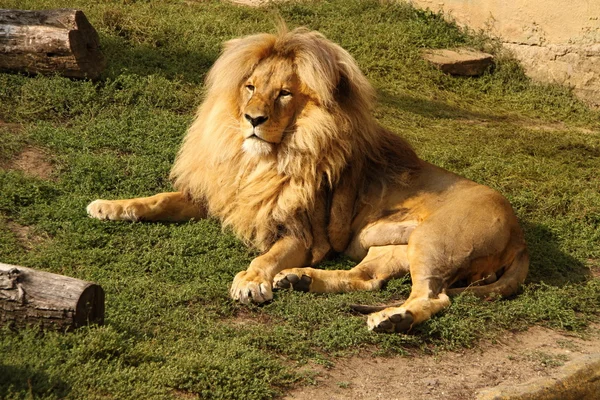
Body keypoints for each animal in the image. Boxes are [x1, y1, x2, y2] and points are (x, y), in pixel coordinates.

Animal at [86, 28, 528, 332]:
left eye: (284, 93)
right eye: (250, 87)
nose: (252, 119)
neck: (260, 162)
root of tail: (519, 233)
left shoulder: (304, 234)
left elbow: (266, 256)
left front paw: (251, 280)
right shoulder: (224, 195)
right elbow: (158, 198)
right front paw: (109, 206)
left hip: (435, 242)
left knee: (435, 298)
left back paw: (393, 319)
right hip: (390, 246)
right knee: (366, 279)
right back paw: (301, 280)